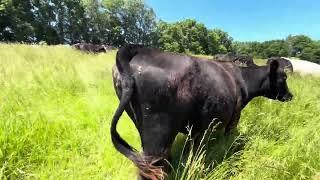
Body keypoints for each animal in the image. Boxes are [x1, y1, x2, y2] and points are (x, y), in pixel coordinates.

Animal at [111, 44, 294, 179]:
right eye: (283, 78)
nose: (290, 95)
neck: (243, 80)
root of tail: (140, 49)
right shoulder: (234, 116)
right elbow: (227, 137)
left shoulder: (197, 127)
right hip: (158, 133)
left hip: (140, 125)